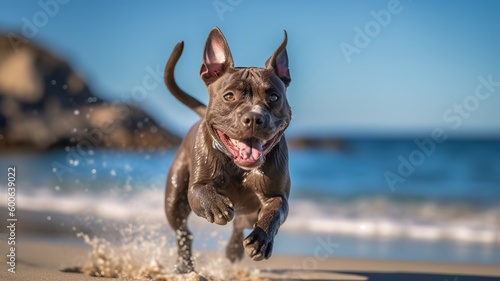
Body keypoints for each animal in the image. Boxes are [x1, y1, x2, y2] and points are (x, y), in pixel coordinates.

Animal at [162, 27, 292, 272]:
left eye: (274, 96)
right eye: (229, 96)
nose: (254, 117)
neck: (238, 166)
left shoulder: (275, 196)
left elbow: (274, 212)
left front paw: (261, 240)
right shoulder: (196, 188)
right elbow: (201, 190)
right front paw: (215, 205)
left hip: (249, 211)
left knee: (241, 223)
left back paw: (234, 249)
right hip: (174, 199)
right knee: (183, 232)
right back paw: (185, 265)